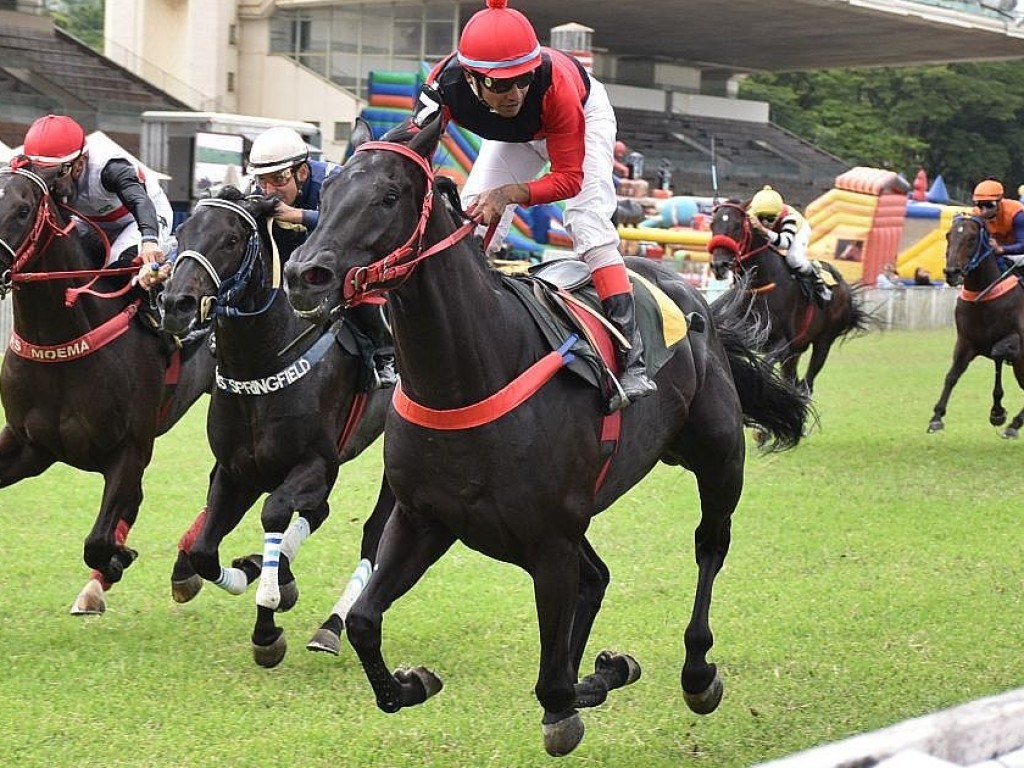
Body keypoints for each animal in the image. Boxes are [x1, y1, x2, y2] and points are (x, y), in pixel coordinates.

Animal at [0, 160, 216, 614]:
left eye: (24, 210)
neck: (63, 341)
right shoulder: (31, 447)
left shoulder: (129, 449)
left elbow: (97, 541)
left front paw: (118, 558)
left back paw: (185, 568)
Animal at [160, 189, 395, 663]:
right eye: (183, 230)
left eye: (231, 240)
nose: (175, 304)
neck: (263, 360)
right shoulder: (237, 470)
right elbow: (205, 551)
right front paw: (254, 575)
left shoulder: (315, 465)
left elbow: (274, 512)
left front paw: (266, 626)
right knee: (319, 513)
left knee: (373, 535)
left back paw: (330, 625)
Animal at [280, 123, 806, 761]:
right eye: (327, 192)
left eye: (388, 196)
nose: (304, 274)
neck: (469, 372)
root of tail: (692, 292)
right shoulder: (426, 518)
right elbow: (363, 622)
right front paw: (411, 683)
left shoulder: (549, 538)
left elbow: (553, 687)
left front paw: (579, 695)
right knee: (598, 577)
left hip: (718, 456)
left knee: (709, 545)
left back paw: (697, 671)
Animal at [712, 201, 872, 393]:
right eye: (712, 225)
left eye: (737, 226)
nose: (719, 265)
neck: (761, 285)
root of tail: (845, 288)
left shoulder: (784, 343)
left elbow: (765, 367)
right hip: (797, 352)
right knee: (794, 381)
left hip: (823, 342)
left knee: (807, 384)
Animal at [929, 214, 1024, 438]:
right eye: (948, 235)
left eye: (972, 239)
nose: (951, 272)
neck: (983, 295)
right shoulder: (965, 342)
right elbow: (952, 376)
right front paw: (937, 417)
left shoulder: (1016, 341)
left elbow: (998, 353)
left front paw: (998, 412)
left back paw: (1015, 425)